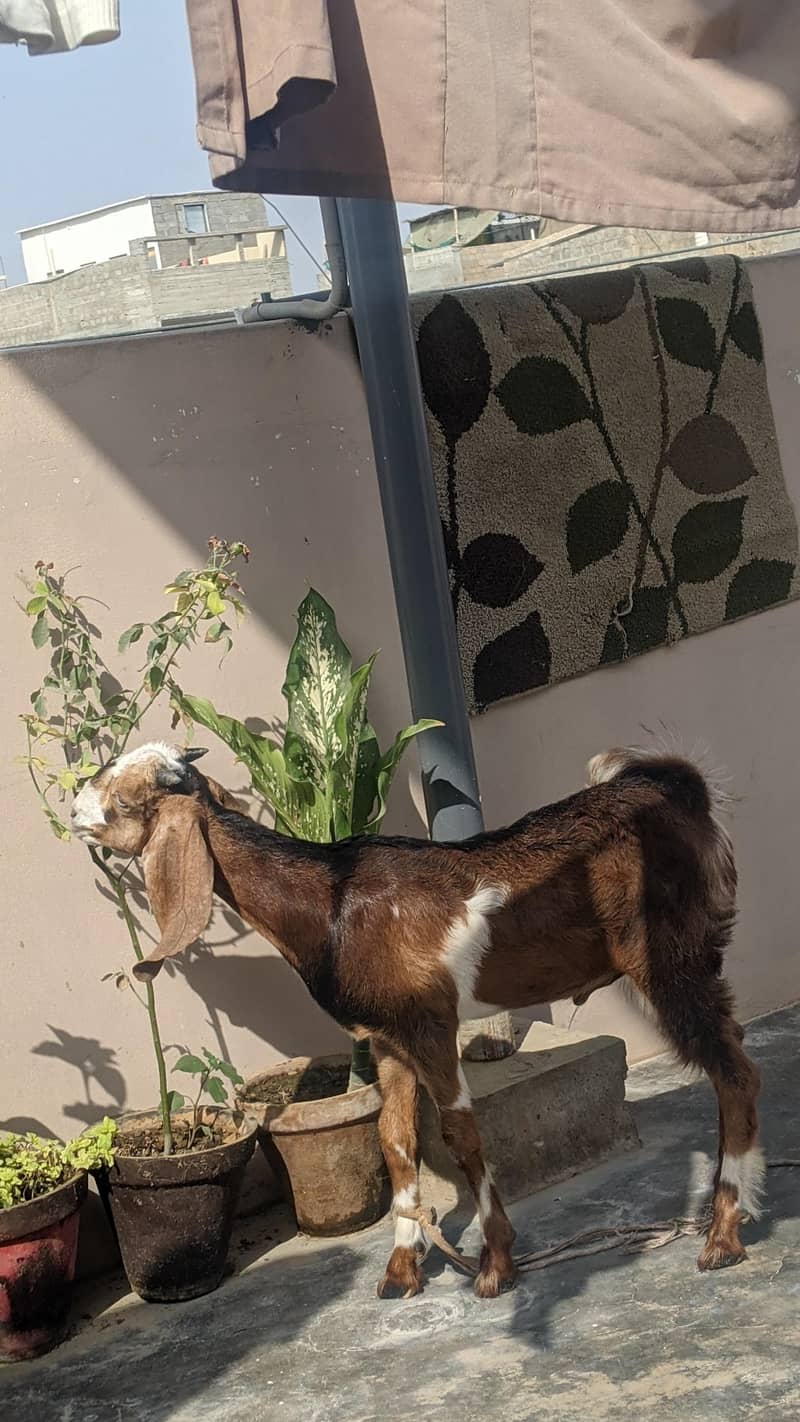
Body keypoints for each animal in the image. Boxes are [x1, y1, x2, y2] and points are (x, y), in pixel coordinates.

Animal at [71, 741, 763, 1299]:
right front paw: (402, 1268)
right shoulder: (387, 1040)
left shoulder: (429, 1026)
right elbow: (394, 1141)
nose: (73, 806)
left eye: (124, 798)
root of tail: (678, 787)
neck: (329, 903)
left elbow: (459, 1136)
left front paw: (494, 1265)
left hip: (670, 960)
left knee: (735, 1072)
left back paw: (722, 1236)